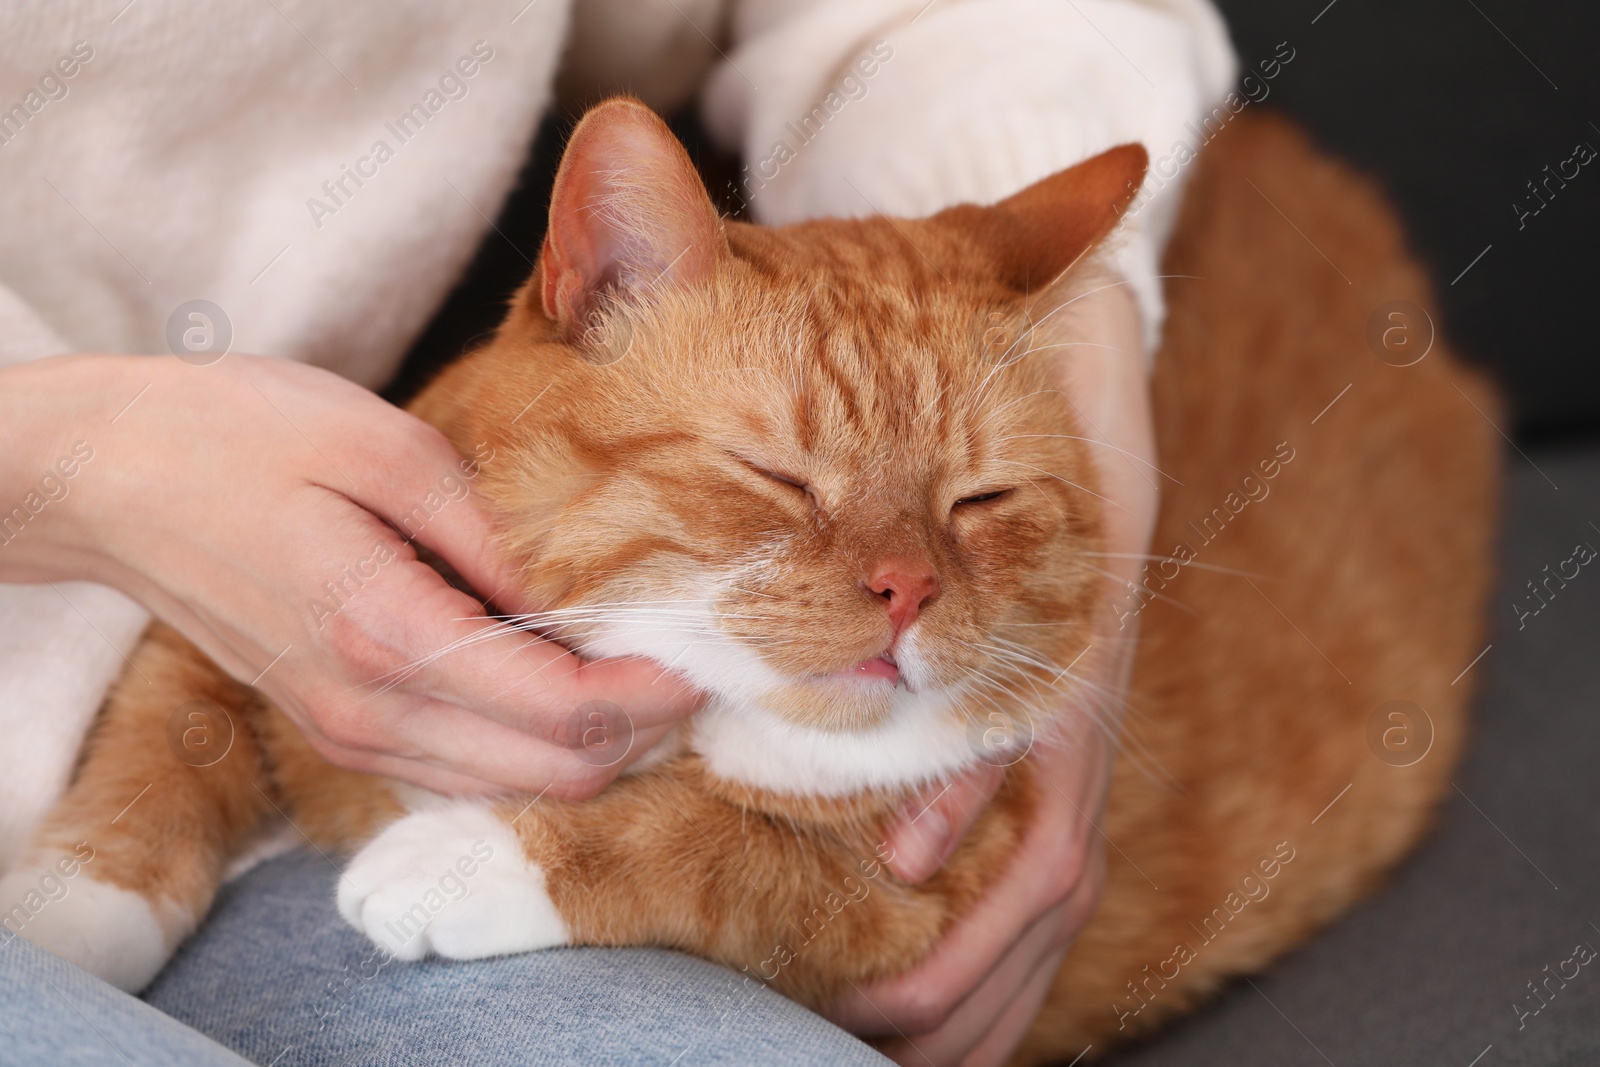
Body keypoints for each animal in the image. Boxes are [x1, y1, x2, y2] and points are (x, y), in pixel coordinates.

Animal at [0, 95, 1497, 1062]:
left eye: (977, 501)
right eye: (780, 478)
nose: (906, 589)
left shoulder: (931, 883)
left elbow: (722, 847)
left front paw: (463, 858)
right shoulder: (244, 612)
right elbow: (162, 741)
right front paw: (64, 916)